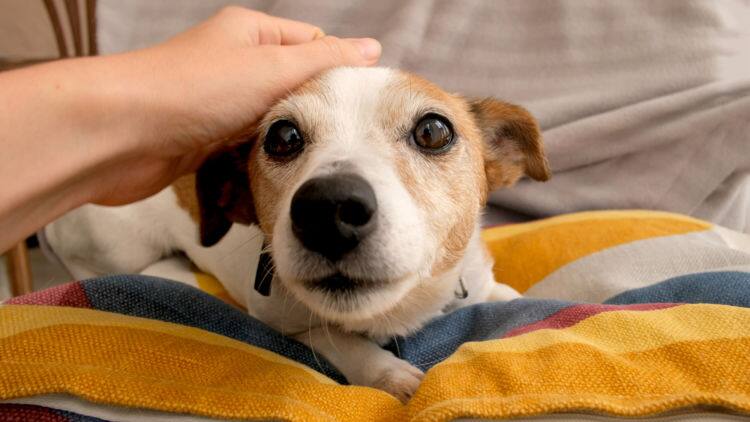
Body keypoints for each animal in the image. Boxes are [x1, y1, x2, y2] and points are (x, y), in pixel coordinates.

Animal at [44, 67, 548, 402]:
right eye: (283, 137)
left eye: (433, 130)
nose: (329, 210)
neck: (396, 313)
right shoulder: (281, 317)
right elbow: (343, 342)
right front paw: (393, 376)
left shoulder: (476, 283)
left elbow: (505, 295)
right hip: (117, 248)